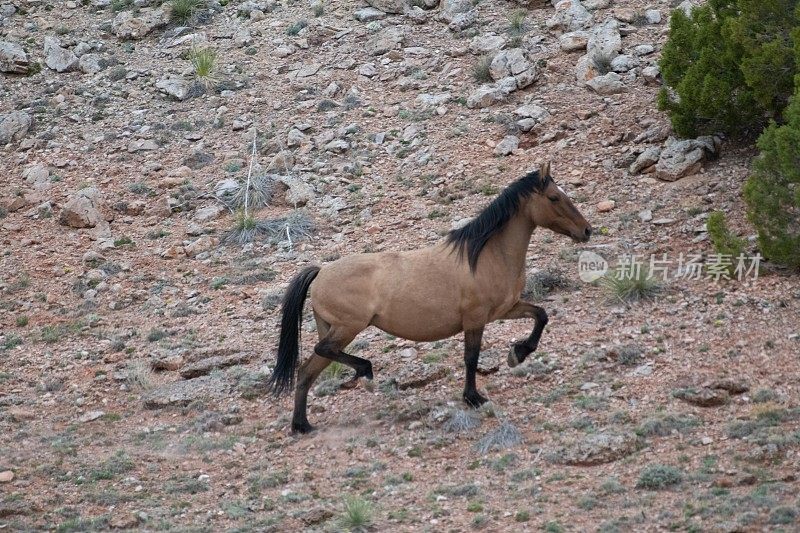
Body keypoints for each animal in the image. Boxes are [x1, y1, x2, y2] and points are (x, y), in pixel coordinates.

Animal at [272, 162, 592, 432]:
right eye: (554, 197)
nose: (586, 231)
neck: (486, 256)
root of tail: (321, 271)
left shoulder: (505, 309)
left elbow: (540, 315)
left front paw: (518, 353)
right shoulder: (475, 318)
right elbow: (471, 357)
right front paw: (473, 397)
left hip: (334, 328)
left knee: (307, 371)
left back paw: (302, 426)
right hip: (348, 327)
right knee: (322, 352)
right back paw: (365, 372)